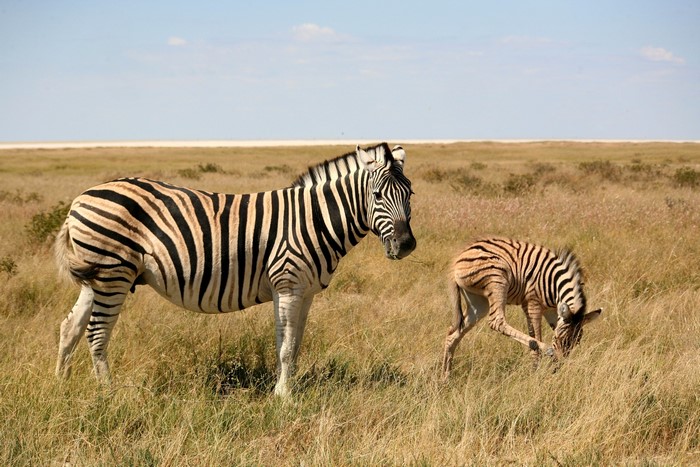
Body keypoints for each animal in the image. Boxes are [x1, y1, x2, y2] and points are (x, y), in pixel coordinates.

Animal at [54, 143, 416, 397]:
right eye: (377, 195)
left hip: (95, 278)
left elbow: (296, 343)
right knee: (97, 333)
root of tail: (79, 199)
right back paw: (108, 394)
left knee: (70, 326)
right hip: (113, 273)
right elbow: (285, 347)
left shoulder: (306, 291)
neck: (314, 220)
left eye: (410, 194)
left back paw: (63, 384)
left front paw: (291, 388)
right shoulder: (287, 284)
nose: (406, 245)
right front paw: (283, 397)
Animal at [442, 236, 601, 379]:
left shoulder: (551, 311)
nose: (559, 366)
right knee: (496, 321)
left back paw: (445, 377)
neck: (553, 283)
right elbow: (536, 335)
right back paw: (545, 348)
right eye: (559, 338)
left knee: (452, 333)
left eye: (576, 342)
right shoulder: (532, 303)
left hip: (478, 302)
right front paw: (535, 372)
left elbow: (554, 326)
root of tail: (459, 258)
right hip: (498, 279)